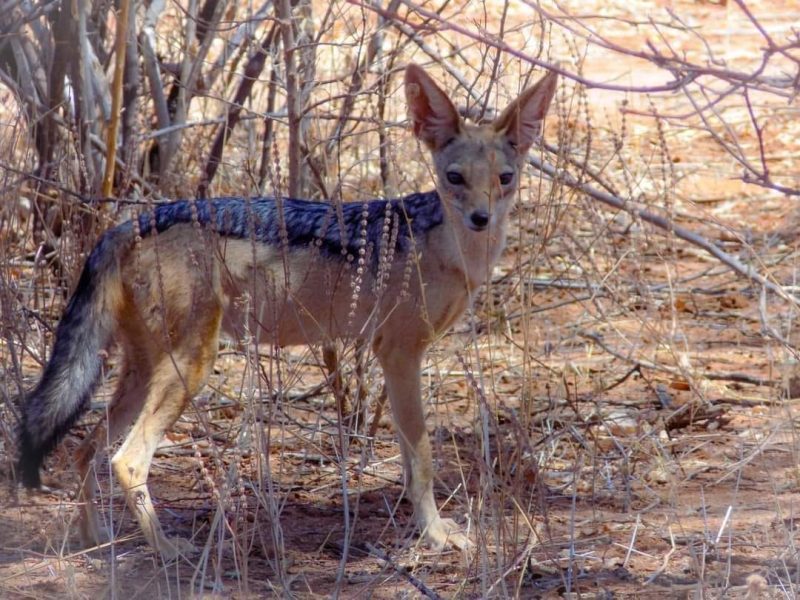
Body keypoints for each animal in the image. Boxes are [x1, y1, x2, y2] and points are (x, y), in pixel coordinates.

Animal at [16, 63, 557, 559]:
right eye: (454, 178)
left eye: (505, 179)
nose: (481, 218)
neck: (445, 247)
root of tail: (132, 221)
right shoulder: (399, 354)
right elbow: (422, 457)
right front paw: (437, 534)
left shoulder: (394, 359)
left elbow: (408, 457)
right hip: (189, 368)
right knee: (125, 461)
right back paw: (167, 551)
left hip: (143, 372)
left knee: (86, 449)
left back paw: (94, 540)